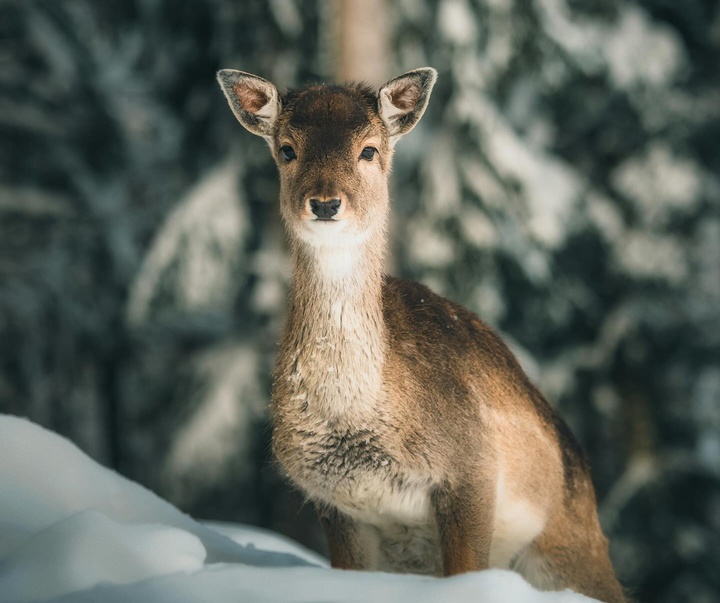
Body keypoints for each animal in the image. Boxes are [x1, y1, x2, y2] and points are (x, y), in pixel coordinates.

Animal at [215, 67, 624, 603]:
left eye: (368, 150)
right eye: (287, 149)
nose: (325, 203)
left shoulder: (472, 469)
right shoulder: (330, 501)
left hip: (573, 554)